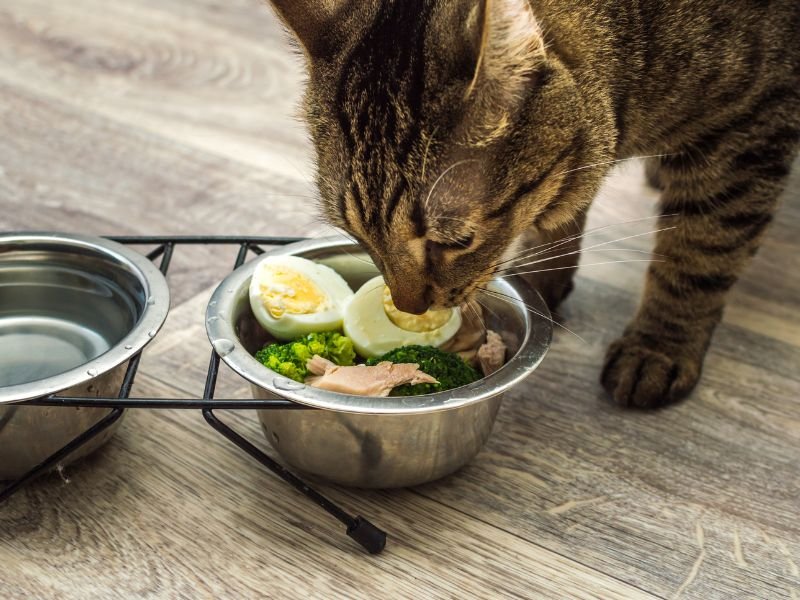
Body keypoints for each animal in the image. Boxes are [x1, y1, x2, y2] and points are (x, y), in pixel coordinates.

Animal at [266, 0, 796, 408]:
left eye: (456, 240)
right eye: (356, 234)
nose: (407, 309)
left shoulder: (747, 131)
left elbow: (699, 255)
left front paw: (659, 346)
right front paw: (544, 280)